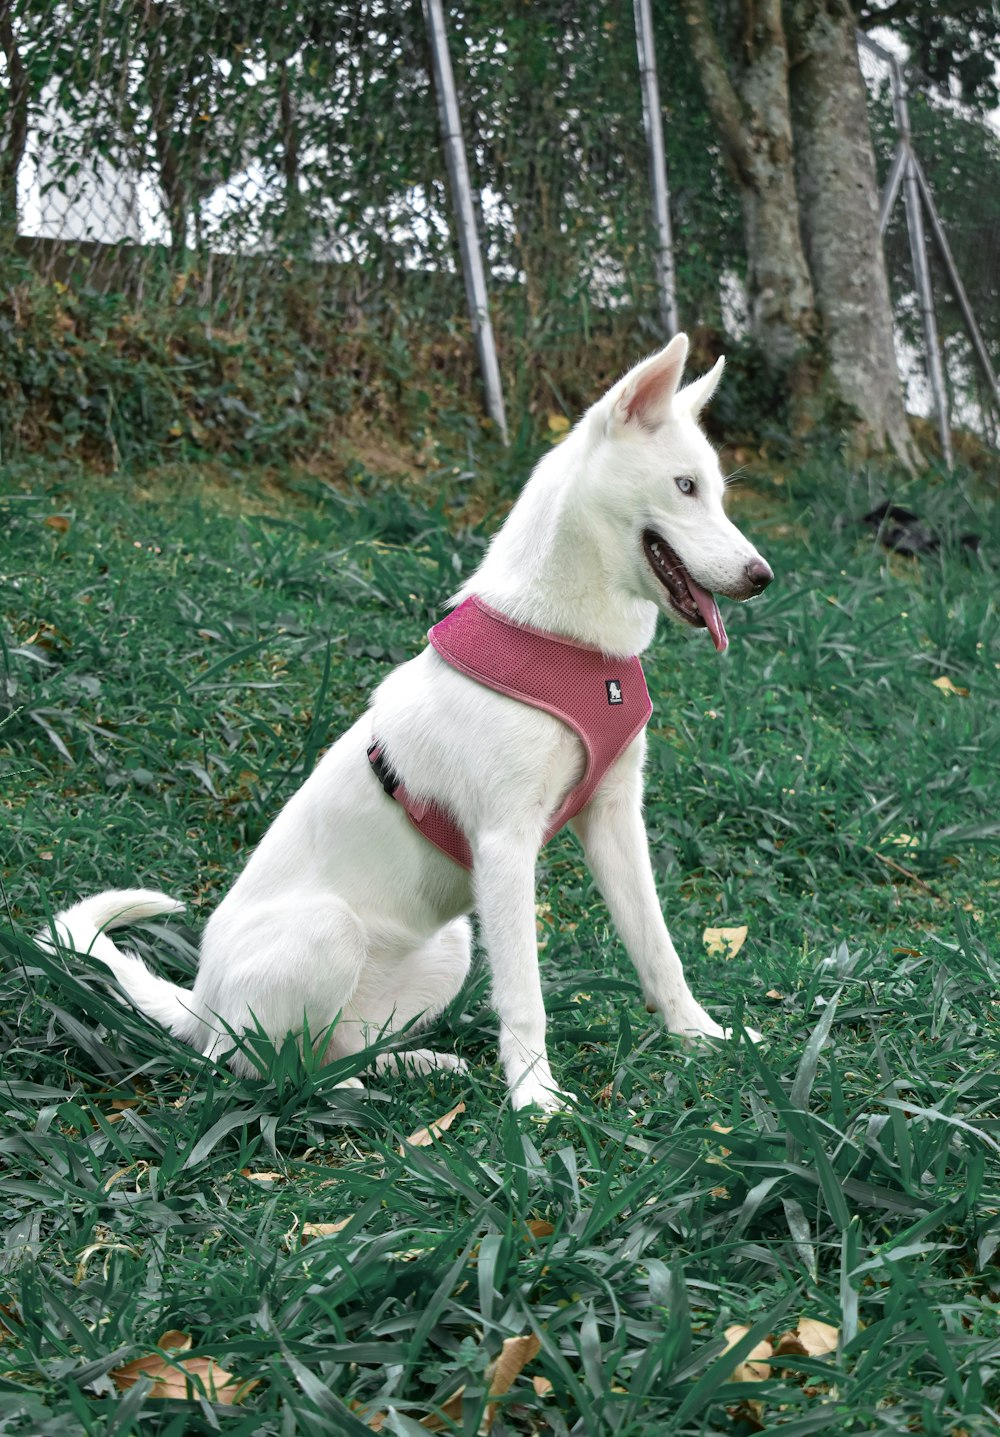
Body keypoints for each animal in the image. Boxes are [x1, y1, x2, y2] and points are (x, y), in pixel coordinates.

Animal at [48, 336, 775, 1109]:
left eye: (716, 491)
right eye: (685, 486)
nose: (762, 576)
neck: (571, 646)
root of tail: (199, 998)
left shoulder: (612, 817)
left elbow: (659, 949)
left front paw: (701, 1037)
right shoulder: (505, 845)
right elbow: (524, 995)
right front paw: (536, 1100)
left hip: (451, 944)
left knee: (338, 1042)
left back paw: (409, 1069)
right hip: (328, 933)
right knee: (242, 1060)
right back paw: (331, 1090)